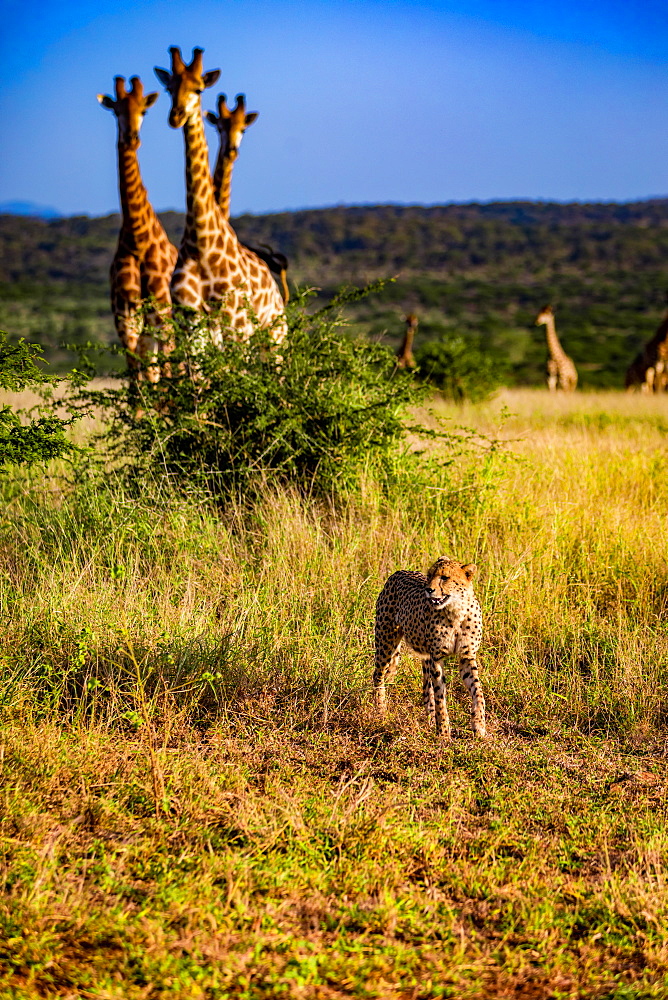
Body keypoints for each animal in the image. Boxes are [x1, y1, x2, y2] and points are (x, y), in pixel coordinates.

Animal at [97, 76, 179, 380]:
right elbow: (137, 379)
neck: (138, 238)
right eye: (116, 110)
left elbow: (165, 374)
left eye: (143, 111)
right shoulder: (125, 318)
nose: (132, 138)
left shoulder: (162, 316)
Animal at [370, 560, 486, 740]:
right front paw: (444, 733)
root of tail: (398, 572)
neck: (456, 610)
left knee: (426, 687)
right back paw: (380, 711)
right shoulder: (437, 658)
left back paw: (430, 719)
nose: (428, 590)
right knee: (378, 675)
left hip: (424, 655)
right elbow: (440, 697)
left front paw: (479, 725)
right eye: (430, 575)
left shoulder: (467, 656)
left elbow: (478, 691)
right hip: (386, 641)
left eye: (444, 577)